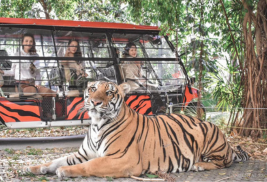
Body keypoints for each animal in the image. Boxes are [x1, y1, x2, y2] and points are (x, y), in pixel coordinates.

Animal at [24, 80, 249, 178]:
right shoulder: (82, 154)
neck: (97, 125)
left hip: (208, 135)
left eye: (109, 92)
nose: (95, 102)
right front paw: (34, 167)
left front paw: (64, 171)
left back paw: (199, 165)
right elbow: (56, 159)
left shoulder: (123, 159)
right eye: (92, 89)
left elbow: (91, 165)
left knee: (224, 162)